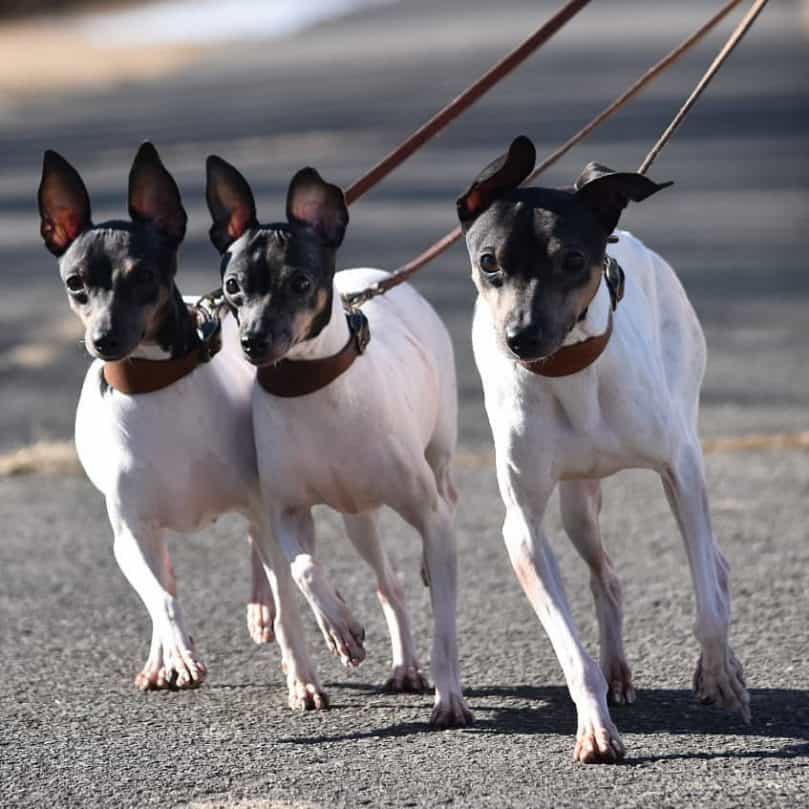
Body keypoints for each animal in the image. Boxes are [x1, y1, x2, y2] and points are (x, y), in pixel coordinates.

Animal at [204, 156, 474, 724]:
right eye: (234, 286)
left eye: (301, 281)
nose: (253, 341)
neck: (310, 386)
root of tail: (376, 278)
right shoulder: (286, 513)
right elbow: (306, 570)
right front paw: (341, 628)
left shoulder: (424, 510)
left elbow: (445, 625)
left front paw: (450, 697)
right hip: (358, 519)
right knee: (389, 584)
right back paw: (402, 665)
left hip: (434, 460)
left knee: (442, 511)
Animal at [458, 136, 748, 760]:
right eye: (489, 262)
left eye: (572, 260)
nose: (520, 338)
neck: (571, 373)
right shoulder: (523, 531)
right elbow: (570, 649)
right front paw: (594, 724)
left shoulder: (679, 471)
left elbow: (708, 606)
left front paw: (719, 674)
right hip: (577, 503)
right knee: (606, 576)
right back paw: (616, 672)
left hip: (685, 443)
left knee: (715, 566)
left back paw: (721, 664)